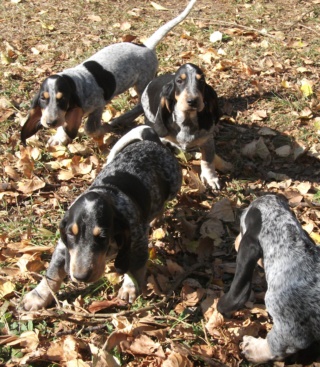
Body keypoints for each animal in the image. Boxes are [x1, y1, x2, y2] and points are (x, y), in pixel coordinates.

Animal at [20, 1, 196, 148]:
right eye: (43, 99)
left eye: (62, 99)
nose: (49, 123)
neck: (75, 83)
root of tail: (146, 47)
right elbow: (66, 123)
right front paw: (59, 136)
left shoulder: (98, 105)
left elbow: (90, 128)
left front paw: (103, 129)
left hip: (143, 83)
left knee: (140, 106)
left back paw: (121, 119)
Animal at [21, 126, 182, 310]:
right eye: (70, 234)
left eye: (103, 237)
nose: (80, 277)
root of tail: (151, 140)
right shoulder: (63, 245)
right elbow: (52, 274)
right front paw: (38, 296)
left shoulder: (137, 241)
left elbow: (134, 267)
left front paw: (129, 287)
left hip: (174, 185)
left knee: (162, 205)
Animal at [141, 62, 221, 190]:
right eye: (179, 81)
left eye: (201, 81)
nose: (192, 101)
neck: (187, 122)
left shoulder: (207, 141)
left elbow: (207, 161)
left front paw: (210, 178)